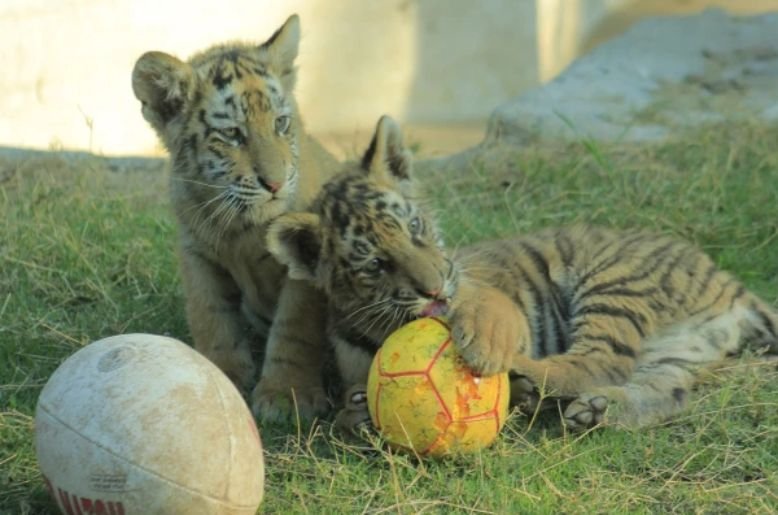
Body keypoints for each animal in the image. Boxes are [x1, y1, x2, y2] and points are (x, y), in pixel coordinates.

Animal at [131, 15, 339, 422]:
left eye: (280, 123)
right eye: (231, 134)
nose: (275, 183)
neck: (242, 228)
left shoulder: (304, 266)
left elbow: (295, 329)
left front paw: (286, 397)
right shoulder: (196, 253)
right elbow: (211, 317)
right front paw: (220, 376)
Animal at [266, 115, 778, 433]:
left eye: (414, 228)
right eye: (375, 264)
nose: (435, 289)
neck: (385, 323)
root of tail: (731, 285)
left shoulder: (491, 296)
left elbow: (485, 314)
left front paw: (485, 350)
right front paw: (355, 412)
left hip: (614, 280)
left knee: (599, 359)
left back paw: (528, 379)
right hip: (676, 351)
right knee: (664, 391)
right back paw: (596, 409)